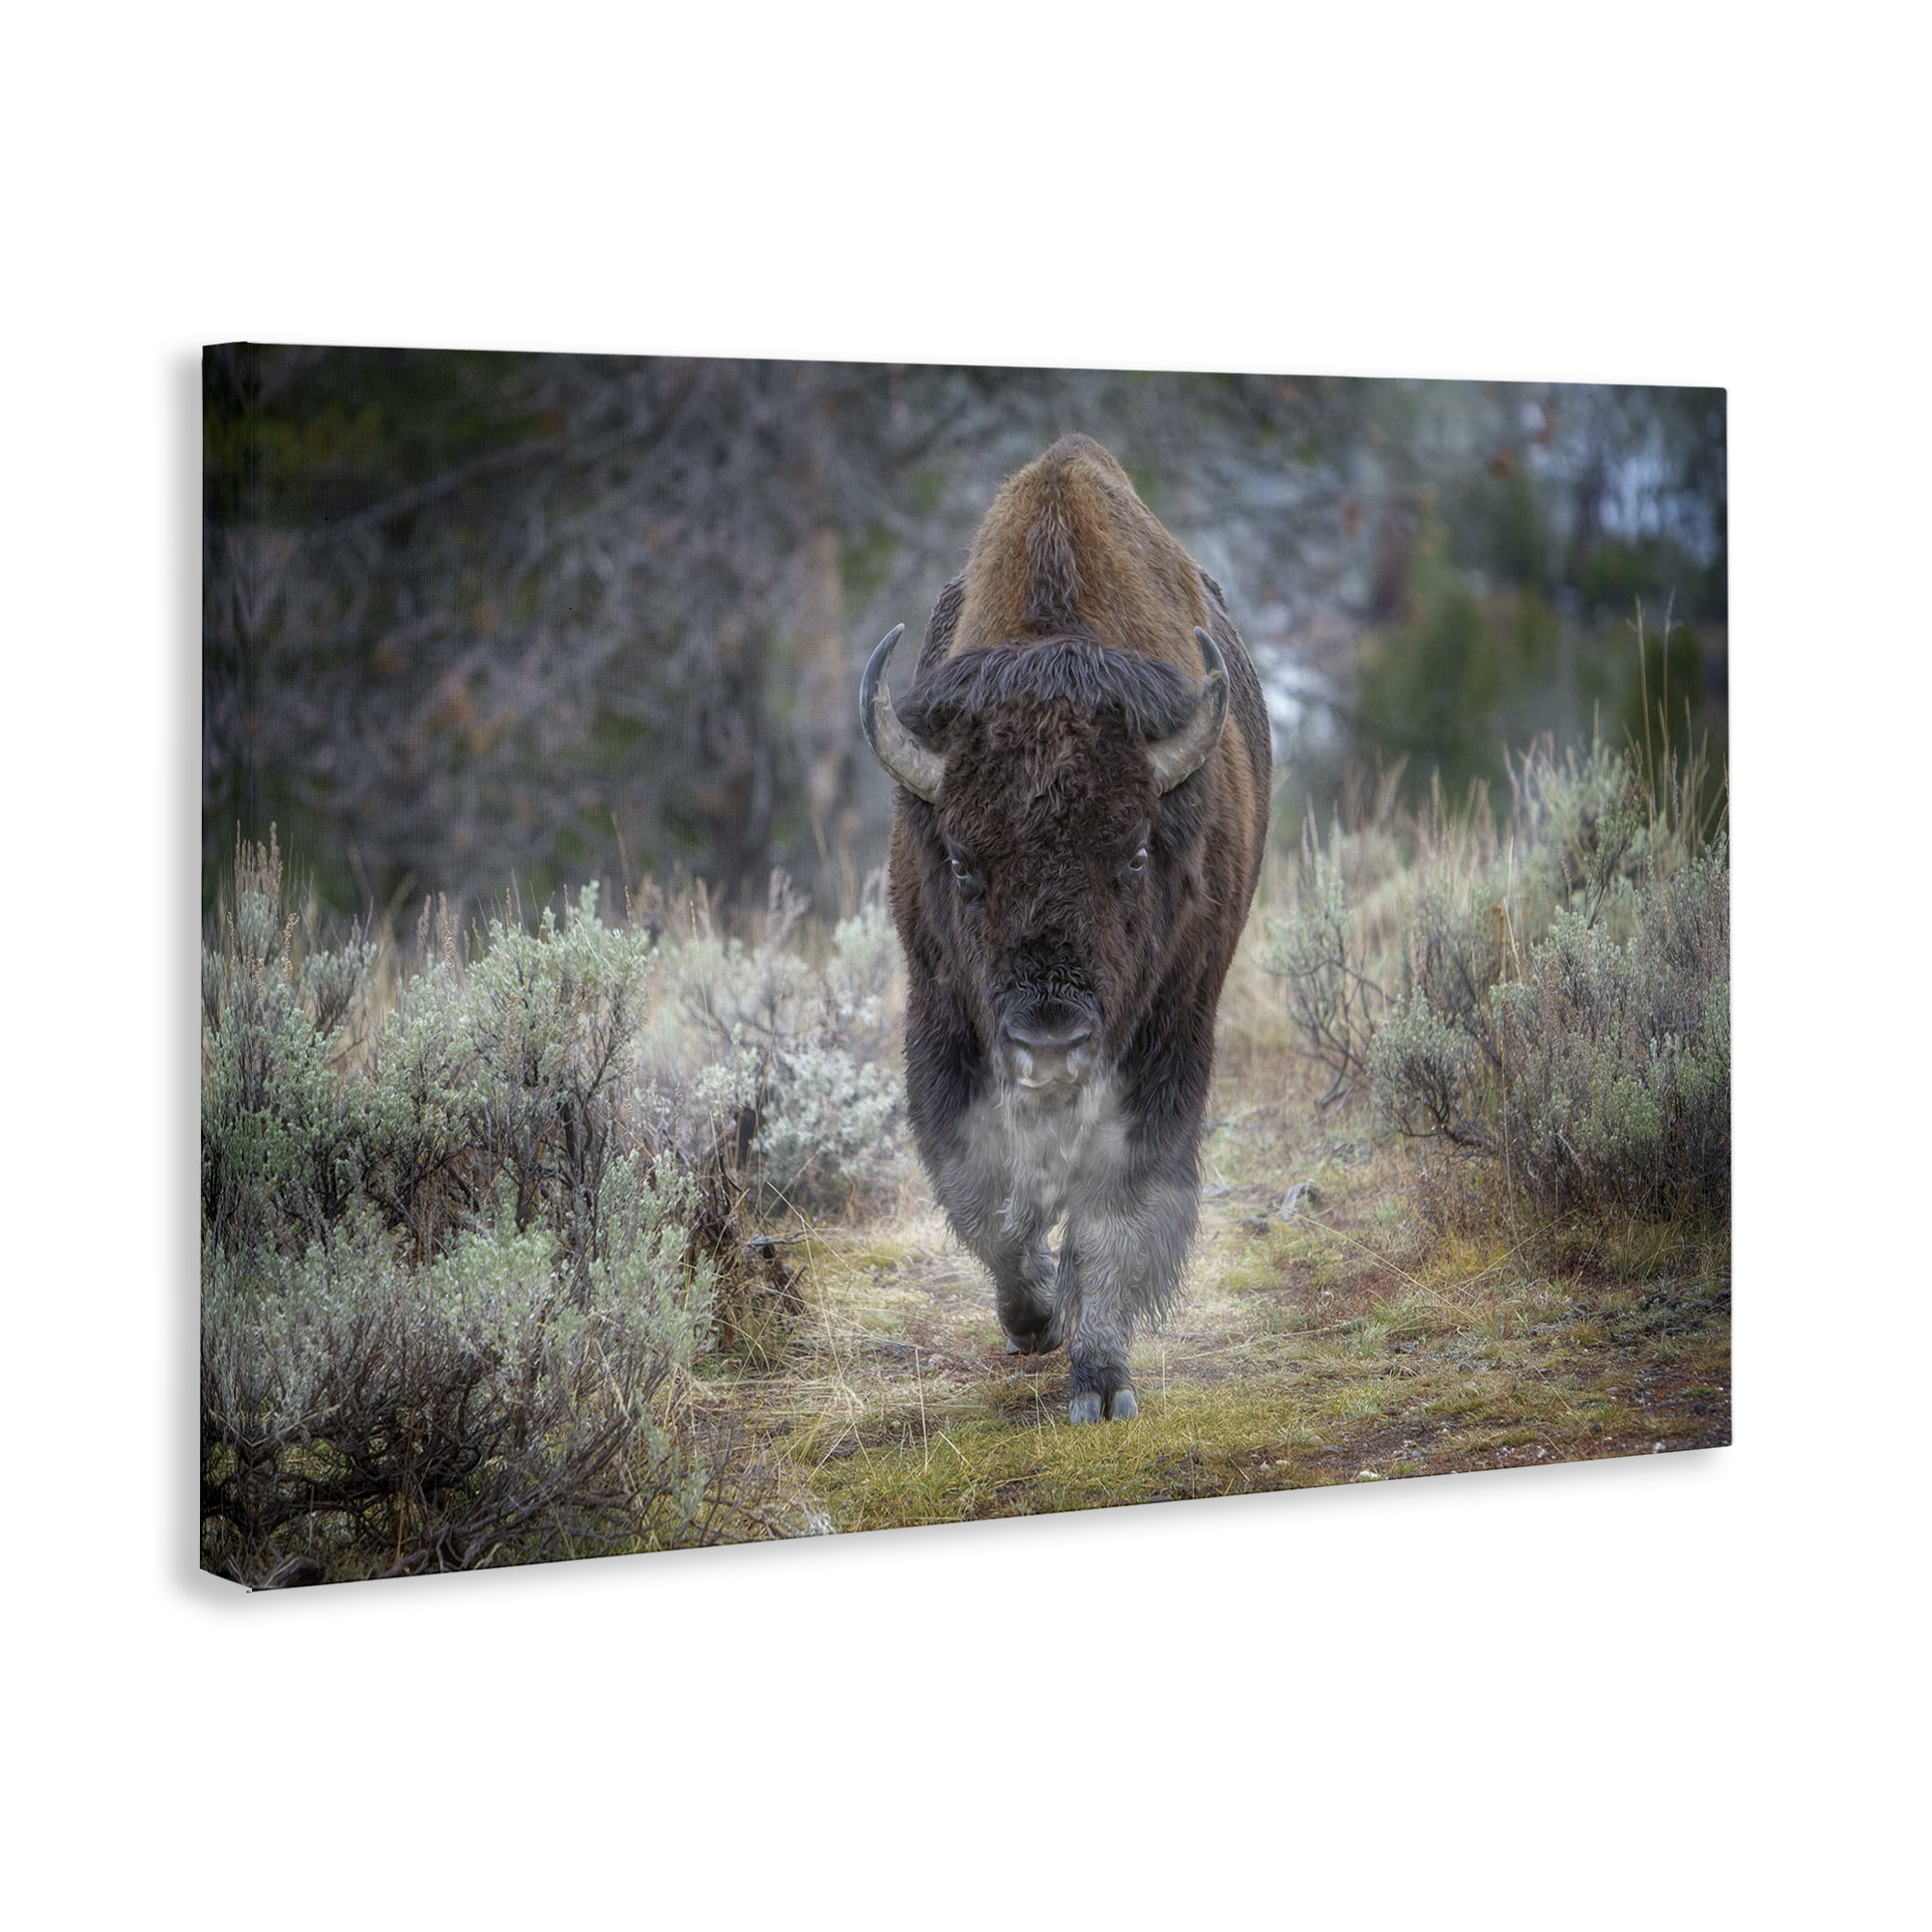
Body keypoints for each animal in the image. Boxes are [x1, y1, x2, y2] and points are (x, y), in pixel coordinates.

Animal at [861, 435, 1270, 1422]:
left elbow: (1116, 1209)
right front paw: (1033, 1321)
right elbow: (988, 1200)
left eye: (1133, 853)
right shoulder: (942, 1018)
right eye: (962, 862)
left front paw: (1101, 1382)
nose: (1050, 1045)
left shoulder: (1168, 1035)